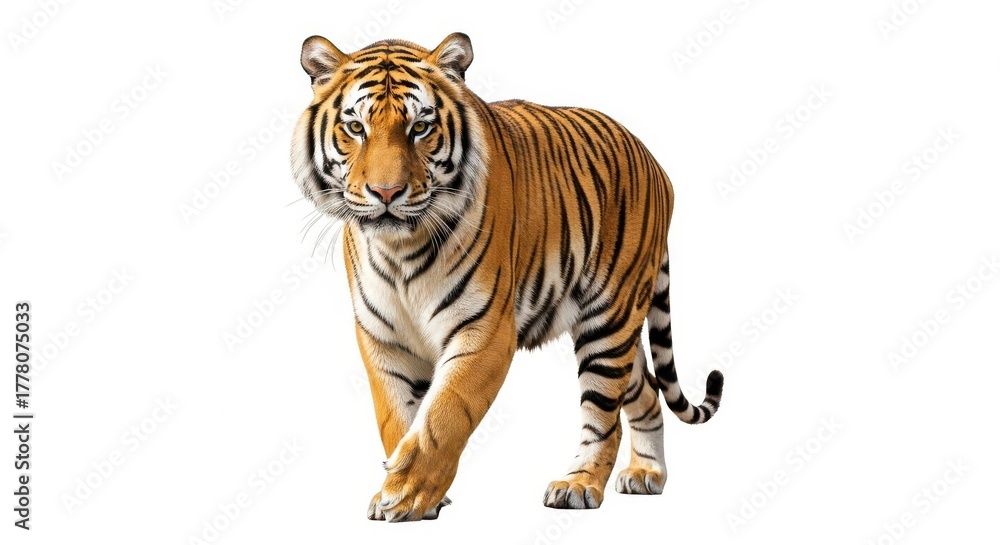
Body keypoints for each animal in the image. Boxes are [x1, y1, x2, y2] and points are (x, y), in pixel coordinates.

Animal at [290, 32, 724, 522]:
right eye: (355, 128)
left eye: (420, 128)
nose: (387, 193)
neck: (401, 250)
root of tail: (654, 161)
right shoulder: (383, 338)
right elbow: (397, 419)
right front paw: (404, 489)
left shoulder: (485, 332)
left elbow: (443, 415)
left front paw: (408, 494)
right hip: (618, 335)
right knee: (646, 392)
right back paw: (647, 474)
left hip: (610, 322)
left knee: (604, 418)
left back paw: (579, 484)